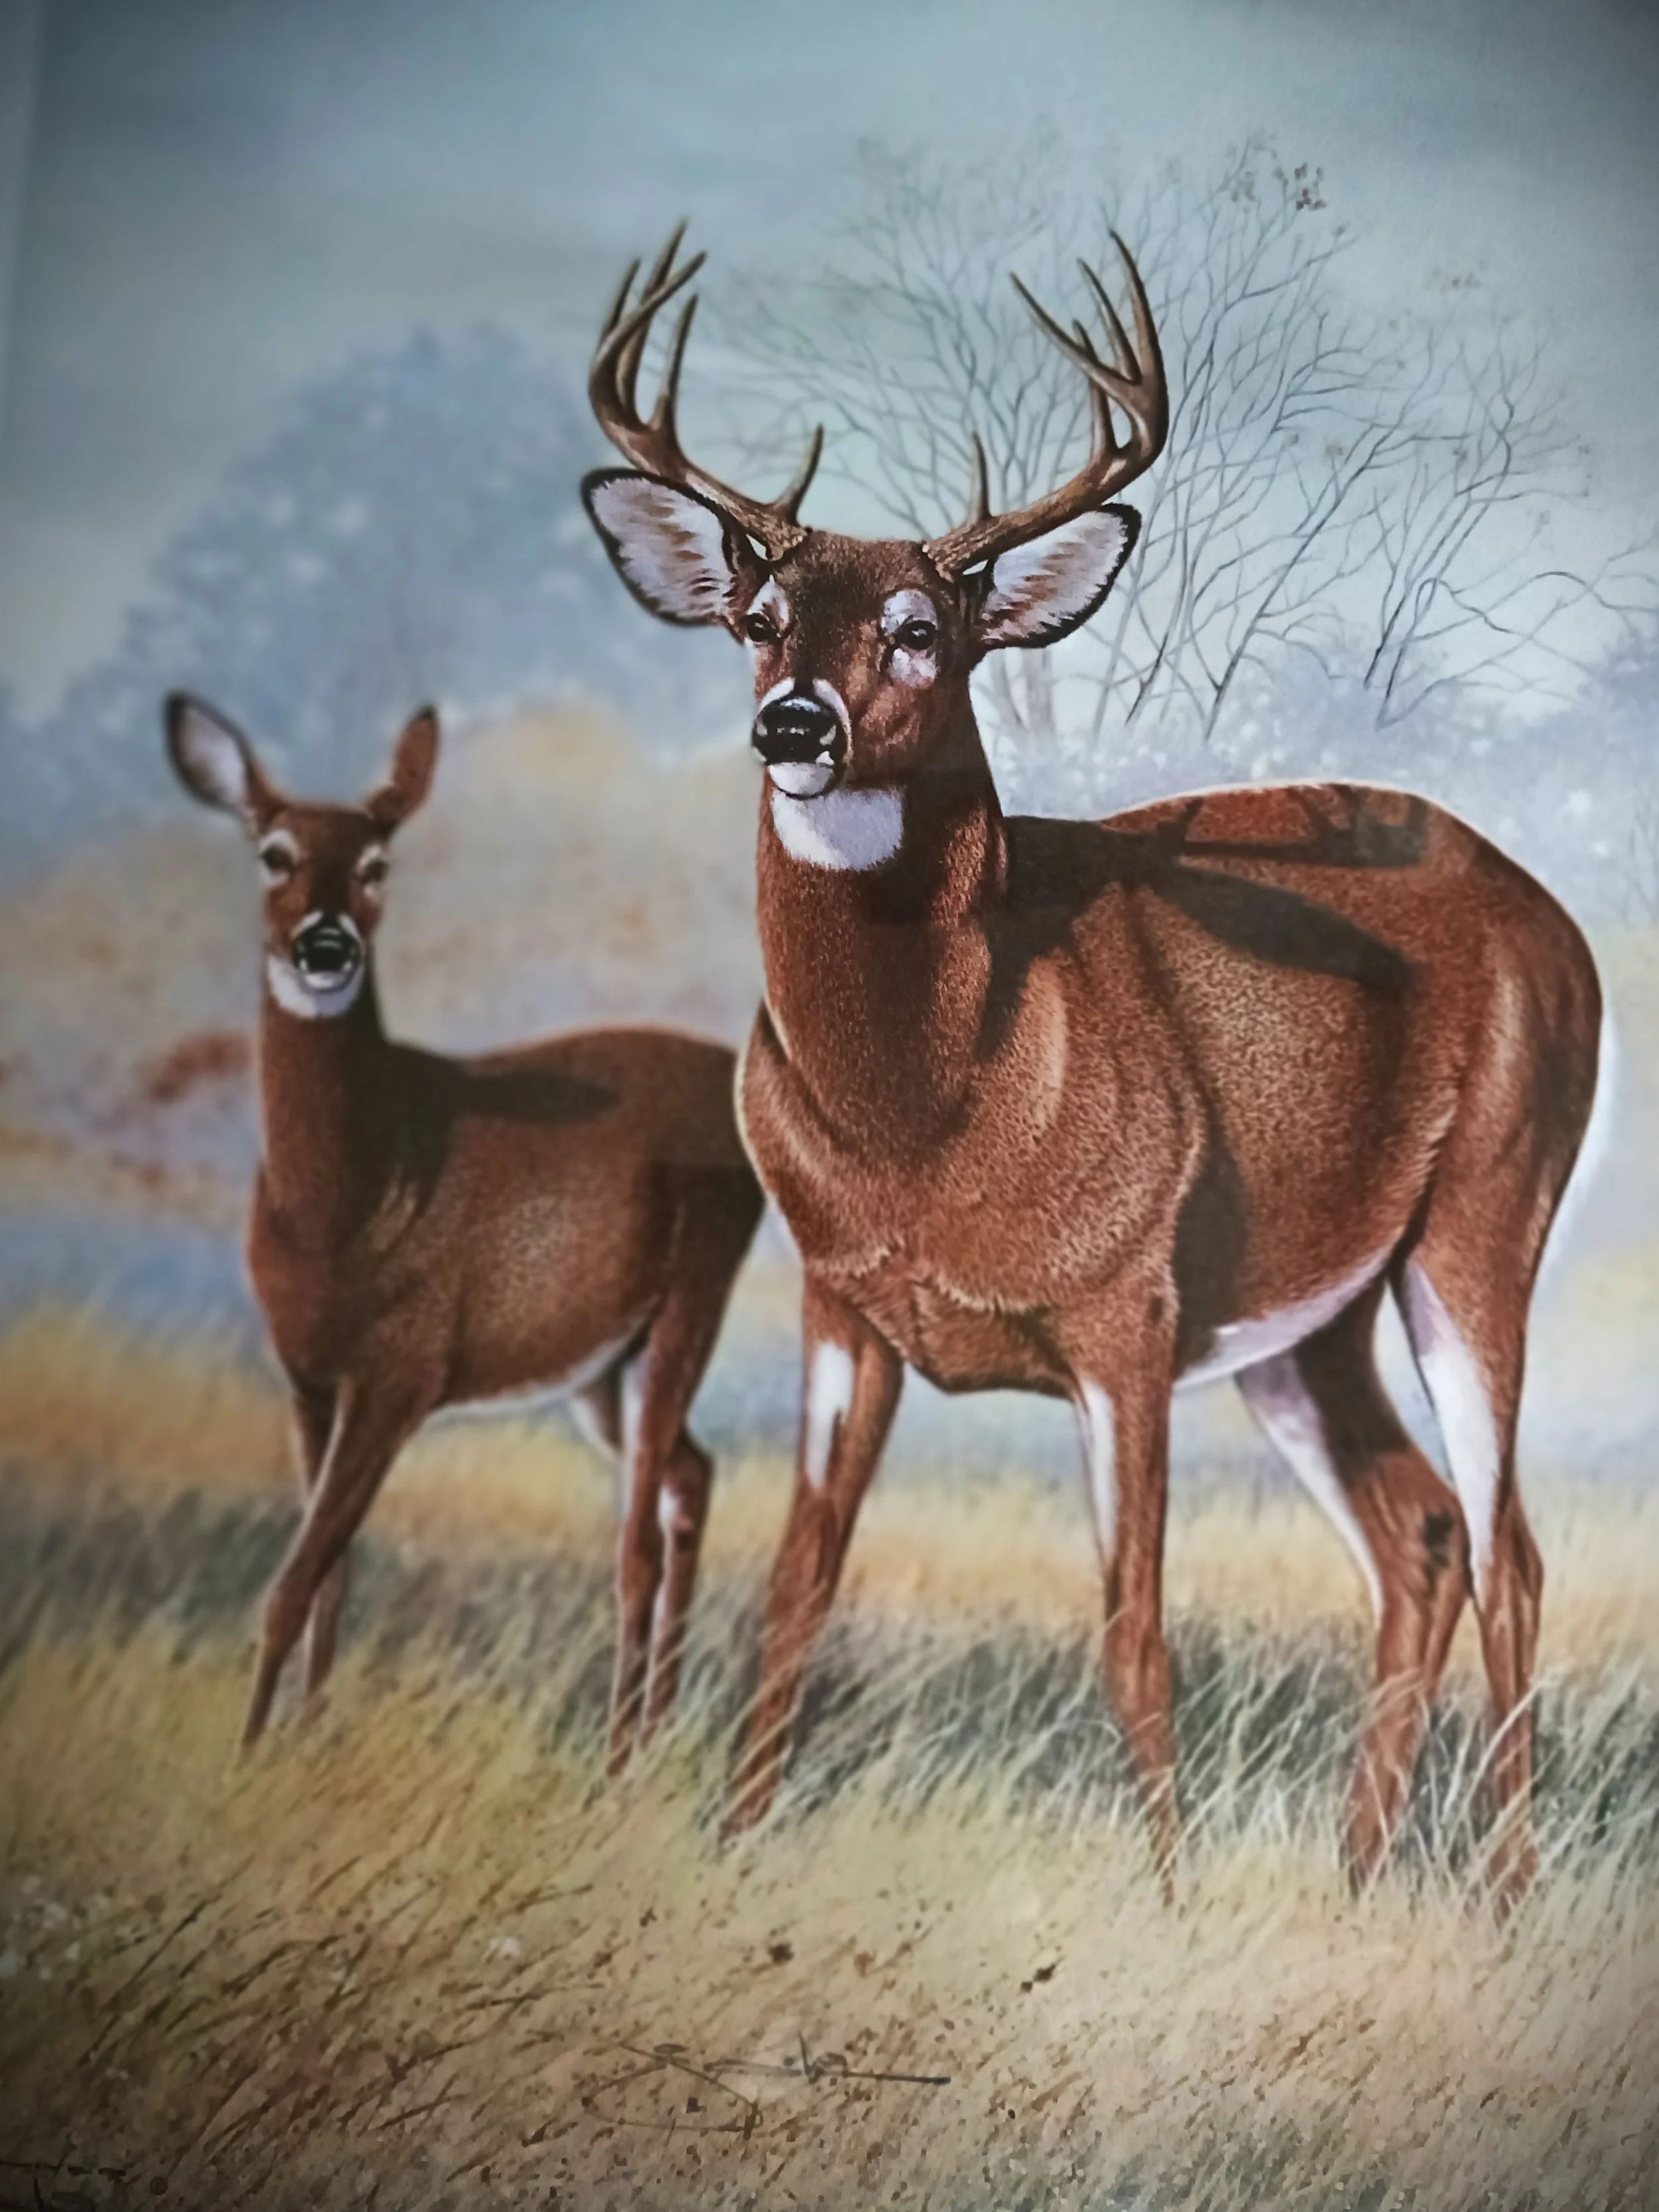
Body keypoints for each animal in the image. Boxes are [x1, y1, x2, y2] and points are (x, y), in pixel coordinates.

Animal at [164, 693, 763, 1760]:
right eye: (274, 853)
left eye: (377, 864)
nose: (326, 946)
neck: (352, 1200)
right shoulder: (309, 1379)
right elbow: (333, 1572)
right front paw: (302, 1740)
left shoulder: (403, 1373)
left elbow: (291, 1581)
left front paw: (246, 1757)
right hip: (604, 1364)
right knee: (689, 1477)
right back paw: (651, 1735)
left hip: (694, 1292)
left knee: (640, 1538)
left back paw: (619, 1757)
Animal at [577, 228, 1604, 1913]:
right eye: (759, 613)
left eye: (921, 627)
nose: (793, 724)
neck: (927, 1114)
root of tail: (1558, 924)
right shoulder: (840, 1296)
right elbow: (796, 1588)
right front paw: (729, 1846)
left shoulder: (1126, 1307)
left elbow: (1134, 1631)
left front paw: (1172, 1898)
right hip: (1302, 1317)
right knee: (1422, 1529)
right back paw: (1354, 1874)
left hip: (1487, 1208)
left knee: (1509, 1542)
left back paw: (1506, 1891)